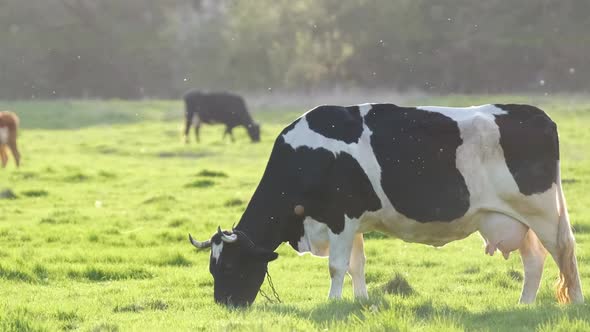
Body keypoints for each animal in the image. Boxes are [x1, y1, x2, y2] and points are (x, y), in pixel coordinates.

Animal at [188, 103, 584, 306]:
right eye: (212, 268)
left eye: (230, 267)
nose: (225, 305)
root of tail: (536, 114)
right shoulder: (354, 222)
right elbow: (356, 265)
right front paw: (358, 300)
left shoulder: (340, 217)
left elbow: (336, 266)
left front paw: (332, 302)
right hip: (513, 219)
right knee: (535, 260)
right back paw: (524, 305)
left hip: (542, 212)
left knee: (564, 251)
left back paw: (577, 301)